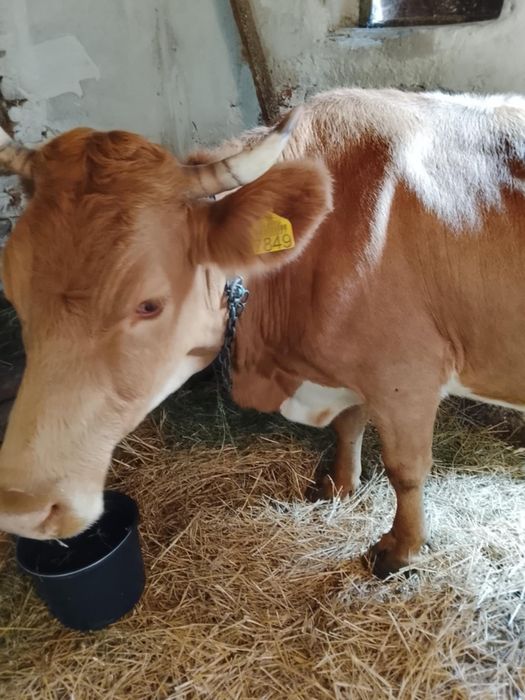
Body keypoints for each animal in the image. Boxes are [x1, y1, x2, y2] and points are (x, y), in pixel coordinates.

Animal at [1, 88, 524, 578]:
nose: (24, 507)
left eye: (149, 304)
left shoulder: (407, 374)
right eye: (12, 289)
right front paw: (338, 485)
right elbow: (348, 424)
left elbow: (406, 470)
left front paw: (401, 551)